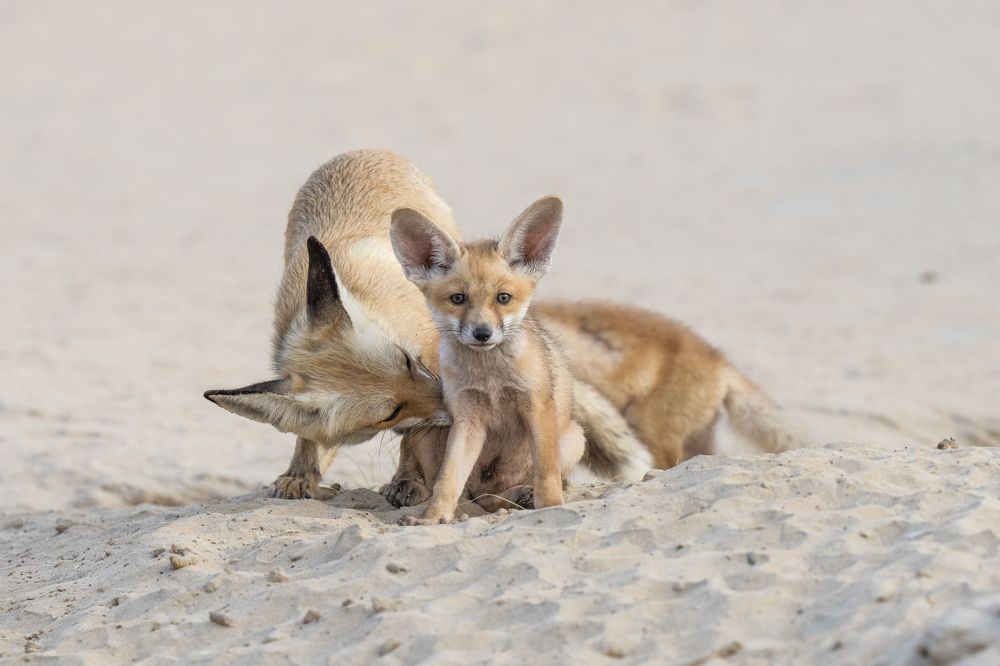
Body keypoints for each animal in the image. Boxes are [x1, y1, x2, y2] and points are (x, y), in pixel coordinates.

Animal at [389, 197, 584, 523]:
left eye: (503, 298)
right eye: (458, 299)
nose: (482, 333)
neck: (491, 379)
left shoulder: (537, 407)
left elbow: (546, 473)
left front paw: (552, 508)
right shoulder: (467, 419)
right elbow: (447, 481)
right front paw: (432, 519)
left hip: (575, 437)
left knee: (498, 498)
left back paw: (523, 496)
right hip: (430, 429)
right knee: (463, 492)